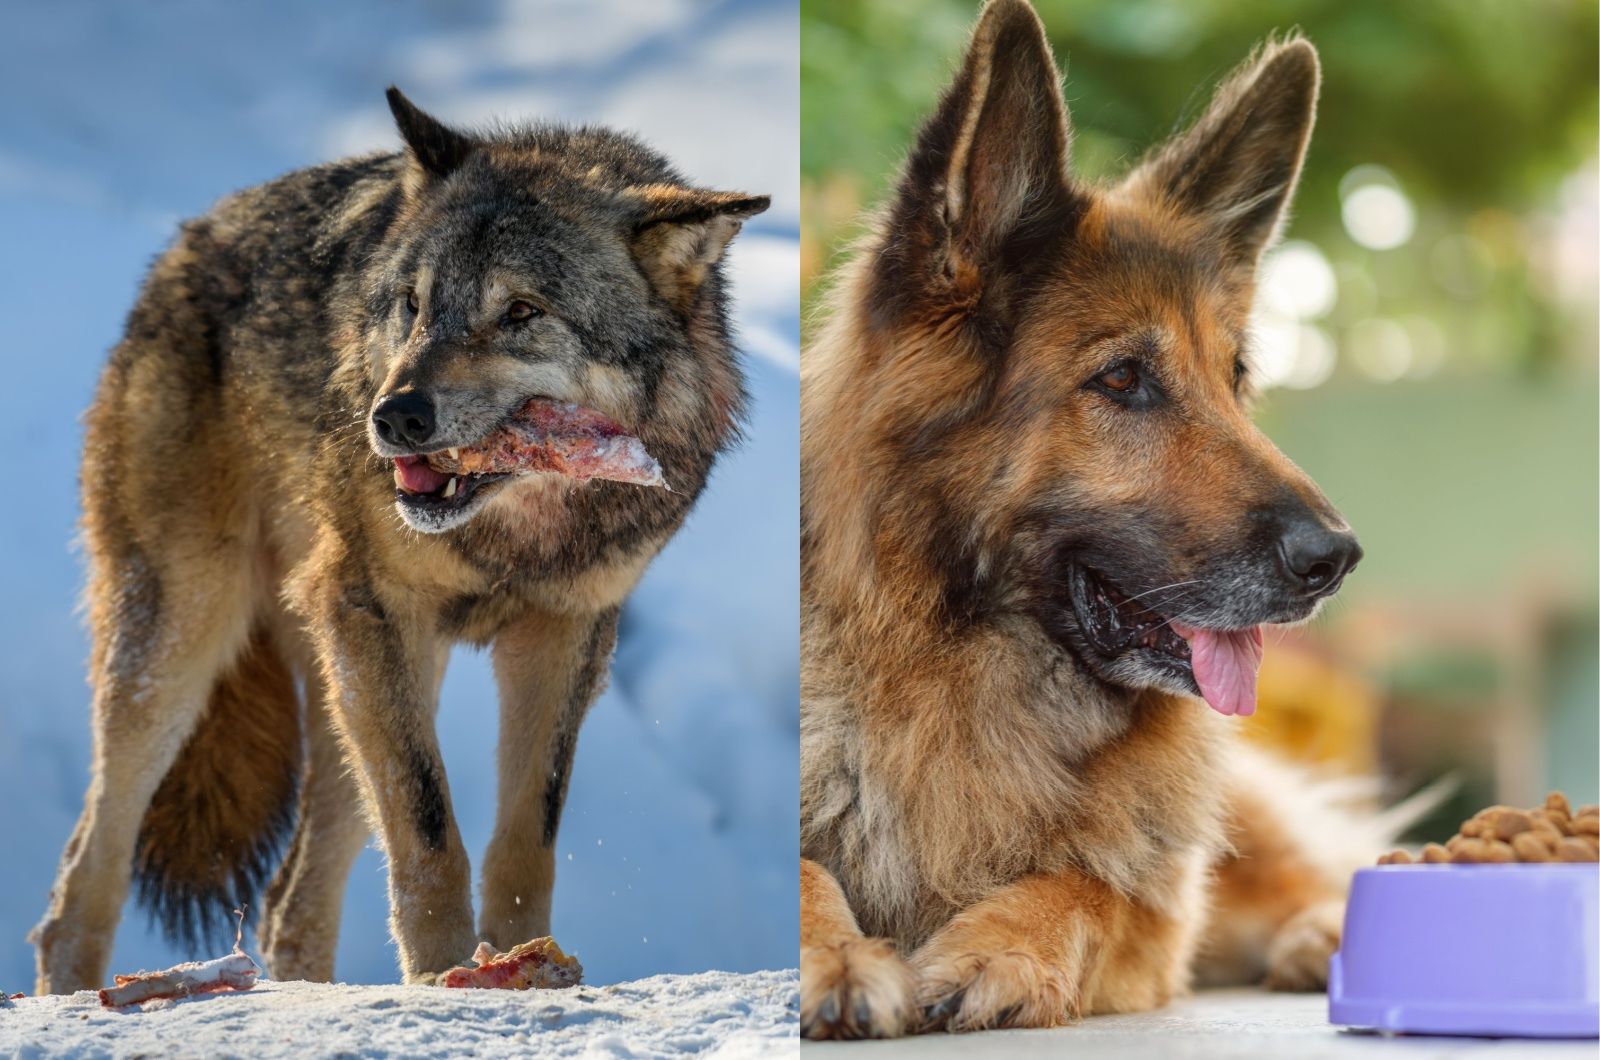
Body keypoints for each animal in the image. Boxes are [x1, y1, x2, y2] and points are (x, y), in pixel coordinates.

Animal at [31, 85, 768, 999]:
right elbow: (429, 837)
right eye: (412, 305)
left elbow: (525, 844)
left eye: (521, 312)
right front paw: (448, 981)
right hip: (190, 646)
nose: (394, 417)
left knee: (287, 903)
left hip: (354, 690)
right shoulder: (376, 610)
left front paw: (524, 968)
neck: (519, 533)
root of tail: (180, 248)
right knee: (81, 884)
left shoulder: (565, 635)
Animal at [800, 0, 1376, 1043]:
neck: (953, 674)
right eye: (1121, 379)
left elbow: (1087, 887)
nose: (1338, 558)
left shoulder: (1155, 911)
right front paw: (835, 954)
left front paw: (1000, 949)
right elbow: (803, 869)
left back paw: (1327, 935)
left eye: (1234, 379)